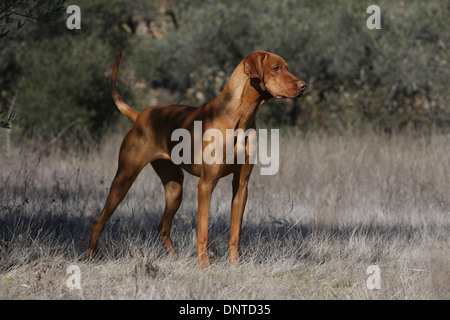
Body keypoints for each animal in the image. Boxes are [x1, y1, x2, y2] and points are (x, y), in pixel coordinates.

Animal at [87, 51, 306, 268]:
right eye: (276, 68)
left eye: (287, 67)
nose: (303, 85)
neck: (240, 116)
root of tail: (140, 116)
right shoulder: (206, 184)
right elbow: (203, 231)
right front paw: (205, 266)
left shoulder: (241, 185)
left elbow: (235, 233)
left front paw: (235, 265)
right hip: (125, 178)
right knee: (99, 220)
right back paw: (90, 257)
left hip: (175, 188)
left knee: (163, 226)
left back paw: (175, 259)